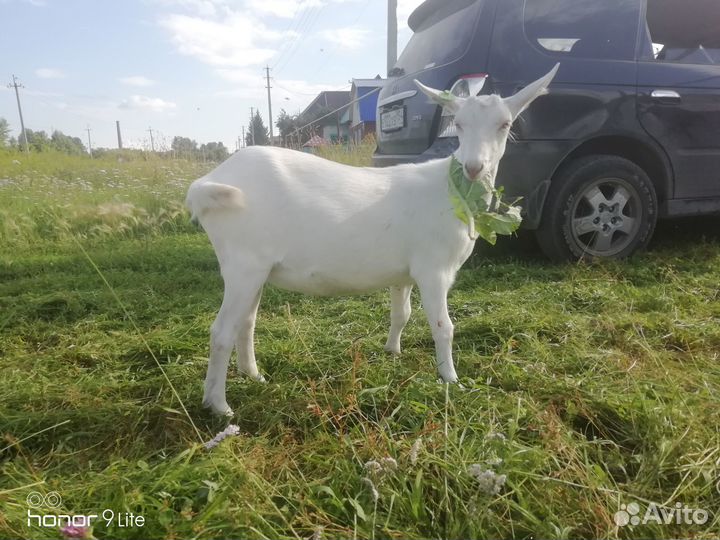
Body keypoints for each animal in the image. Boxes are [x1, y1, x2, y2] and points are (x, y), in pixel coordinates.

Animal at [187, 64, 559, 415]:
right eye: (459, 123)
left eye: (505, 124)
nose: (473, 167)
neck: (450, 188)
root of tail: (206, 184)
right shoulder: (434, 269)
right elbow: (443, 326)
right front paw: (451, 380)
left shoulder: (404, 274)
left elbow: (401, 314)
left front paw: (392, 351)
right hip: (243, 265)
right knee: (221, 331)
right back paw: (218, 406)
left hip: (255, 269)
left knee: (246, 323)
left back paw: (254, 375)